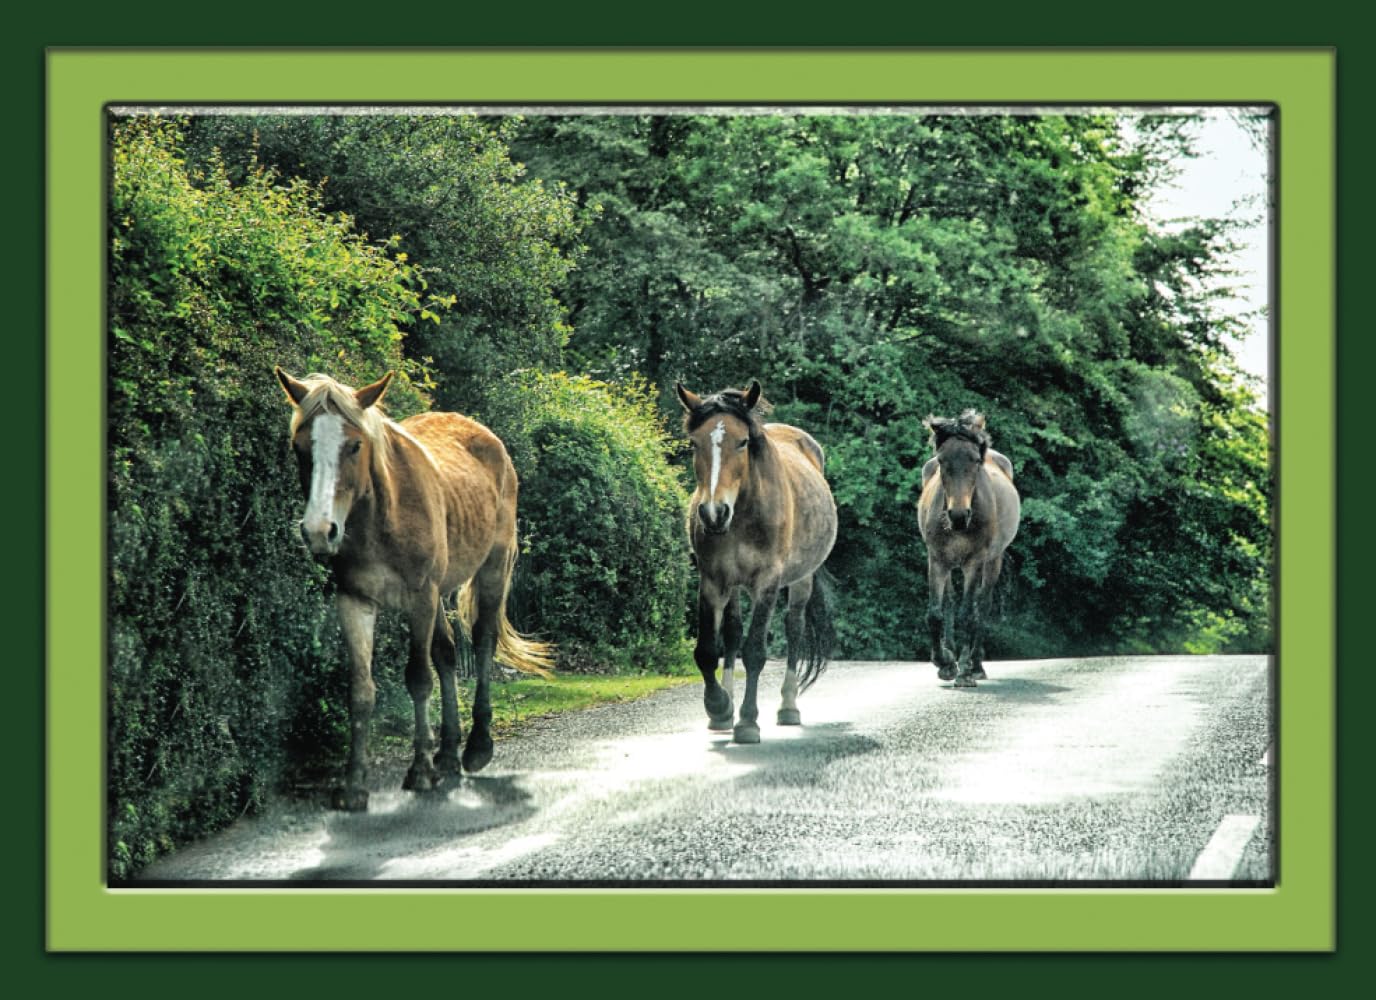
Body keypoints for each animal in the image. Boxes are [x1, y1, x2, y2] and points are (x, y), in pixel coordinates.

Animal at [275, 368, 553, 811]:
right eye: (299, 447)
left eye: (355, 445)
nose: (319, 531)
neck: (380, 517)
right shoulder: (355, 601)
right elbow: (362, 690)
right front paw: (354, 784)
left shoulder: (420, 598)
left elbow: (419, 678)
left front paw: (420, 770)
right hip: (439, 593)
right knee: (447, 654)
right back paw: (449, 753)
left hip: (493, 568)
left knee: (483, 642)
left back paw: (477, 746)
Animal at [675, 380, 838, 744]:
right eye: (694, 443)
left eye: (742, 442)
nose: (713, 513)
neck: (743, 514)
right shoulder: (713, 580)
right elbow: (708, 650)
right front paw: (719, 707)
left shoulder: (767, 583)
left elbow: (754, 651)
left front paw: (748, 721)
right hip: (733, 585)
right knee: (732, 633)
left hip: (800, 581)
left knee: (794, 628)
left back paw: (788, 707)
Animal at [917, 409, 1020, 688]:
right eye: (942, 461)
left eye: (975, 461)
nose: (958, 515)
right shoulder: (936, 559)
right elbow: (935, 614)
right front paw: (944, 662)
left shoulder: (974, 562)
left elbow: (967, 614)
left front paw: (963, 671)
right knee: (951, 602)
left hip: (992, 561)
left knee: (981, 606)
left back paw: (975, 665)